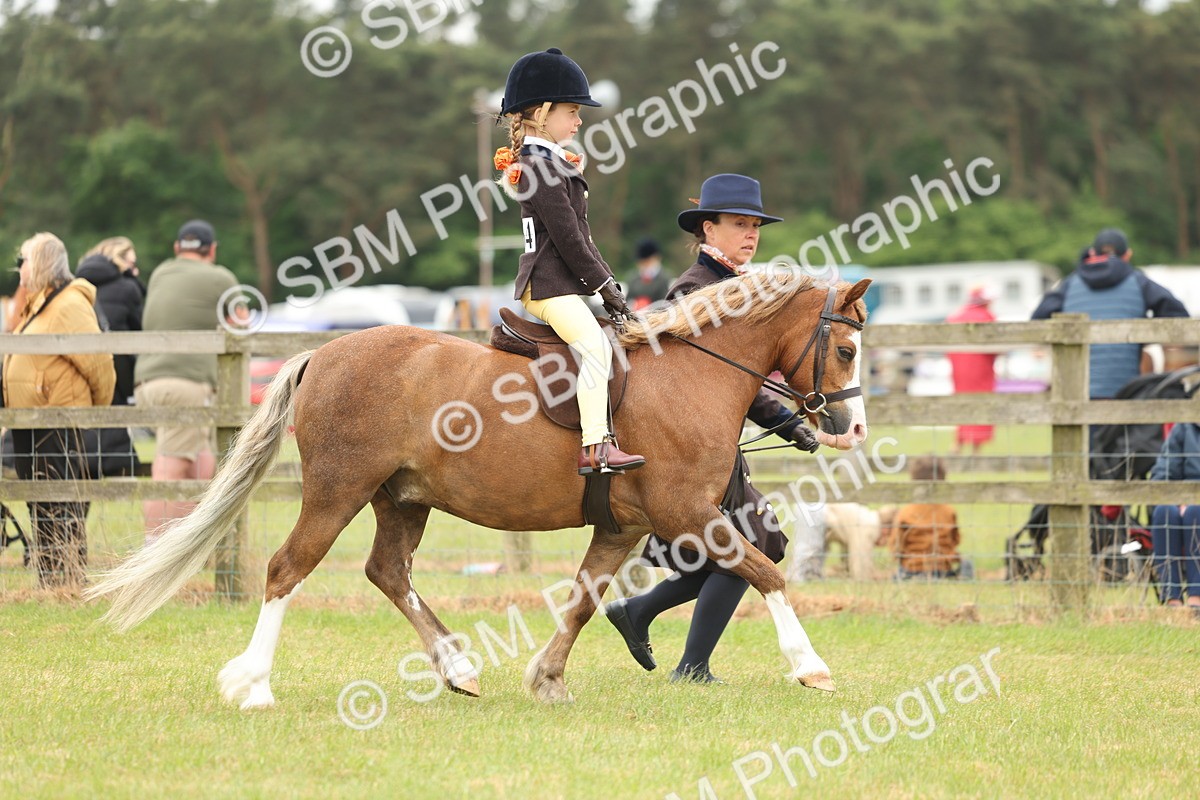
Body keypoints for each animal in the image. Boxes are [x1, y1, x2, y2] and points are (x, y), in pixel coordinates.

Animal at [87, 272, 870, 708]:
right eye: (847, 347)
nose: (851, 427)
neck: (689, 375)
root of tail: (323, 352)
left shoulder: (622, 526)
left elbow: (583, 600)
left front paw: (547, 679)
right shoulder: (689, 513)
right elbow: (766, 572)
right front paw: (813, 668)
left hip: (402, 499)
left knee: (388, 572)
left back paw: (458, 668)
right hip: (337, 490)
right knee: (288, 569)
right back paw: (252, 684)